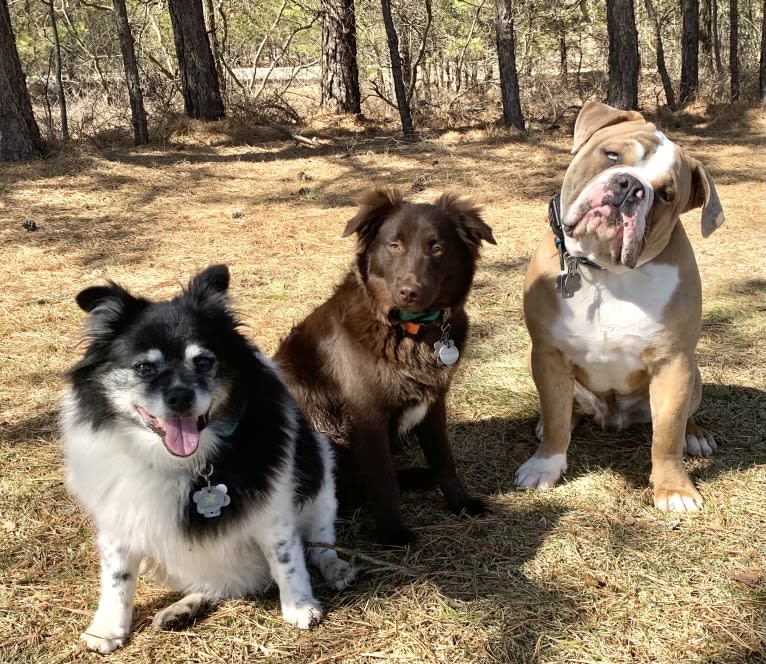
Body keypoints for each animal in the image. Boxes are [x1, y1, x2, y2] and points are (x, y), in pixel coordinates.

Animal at [62, 264, 356, 652]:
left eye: (203, 362)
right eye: (144, 368)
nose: (180, 398)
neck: (182, 462)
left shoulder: (273, 510)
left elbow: (287, 559)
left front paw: (300, 605)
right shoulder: (120, 520)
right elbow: (117, 578)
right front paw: (108, 628)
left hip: (321, 477)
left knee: (320, 544)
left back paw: (336, 568)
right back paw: (181, 609)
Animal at [276, 187, 498, 544]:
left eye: (437, 248)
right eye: (394, 245)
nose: (409, 292)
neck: (411, 332)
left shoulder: (434, 403)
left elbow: (444, 458)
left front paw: (460, 501)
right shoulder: (368, 416)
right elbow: (382, 479)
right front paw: (393, 532)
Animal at [520, 101, 728, 510]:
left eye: (666, 194)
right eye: (612, 155)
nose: (630, 186)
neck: (605, 271)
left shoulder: (673, 364)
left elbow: (667, 435)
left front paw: (675, 489)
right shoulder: (547, 355)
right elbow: (555, 418)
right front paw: (544, 466)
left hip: (693, 377)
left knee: (683, 418)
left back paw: (695, 435)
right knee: (567, 411)